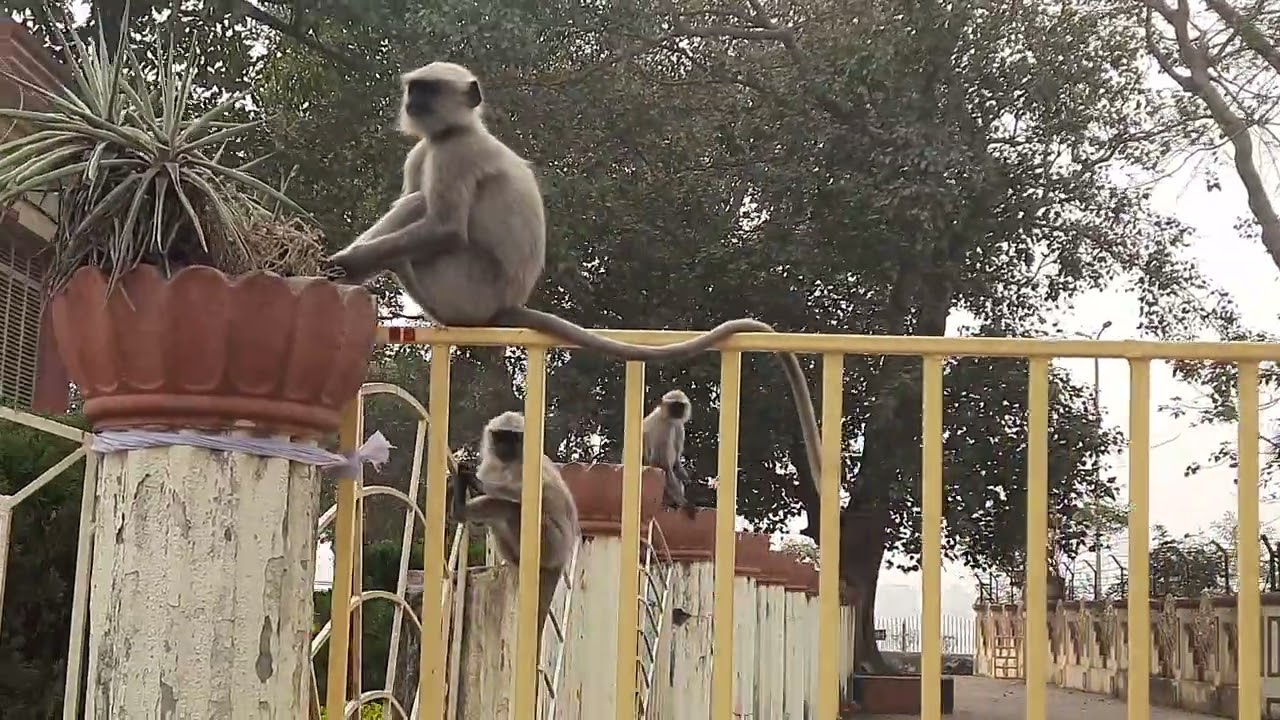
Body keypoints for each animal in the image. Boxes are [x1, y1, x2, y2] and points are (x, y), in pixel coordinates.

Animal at [324, 61, 825, 504]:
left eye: (427, 90)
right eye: (415, 89)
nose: (413, 102)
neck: (456, 130)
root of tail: (508, 304)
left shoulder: (454, 154)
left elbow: (445, 228)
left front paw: (342, 264)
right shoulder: (426, 150)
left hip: (463, 291)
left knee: (417, 211)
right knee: (412, 202)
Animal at [453, 411, 580, 648]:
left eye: (512, 438)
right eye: (500, 436)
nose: (504, 445)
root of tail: (561, 558)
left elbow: (536, 495)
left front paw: (478, 483)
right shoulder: (492, 463)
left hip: (550, 541)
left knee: (512, 507)